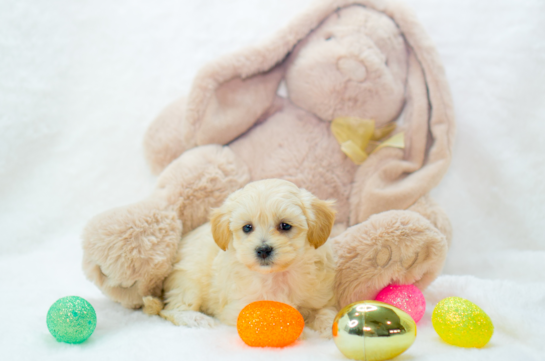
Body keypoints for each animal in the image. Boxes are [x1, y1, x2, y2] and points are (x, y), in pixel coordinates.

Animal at [149, 179, 336, 336]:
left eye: (285, 225)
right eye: (247, 227)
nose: (263, 250)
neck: (275, 276)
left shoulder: (316, 298)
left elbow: (321, 311)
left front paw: (329, 326)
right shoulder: (240, 307)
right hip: (188, 283)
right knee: (170, 309)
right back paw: (195, 319)